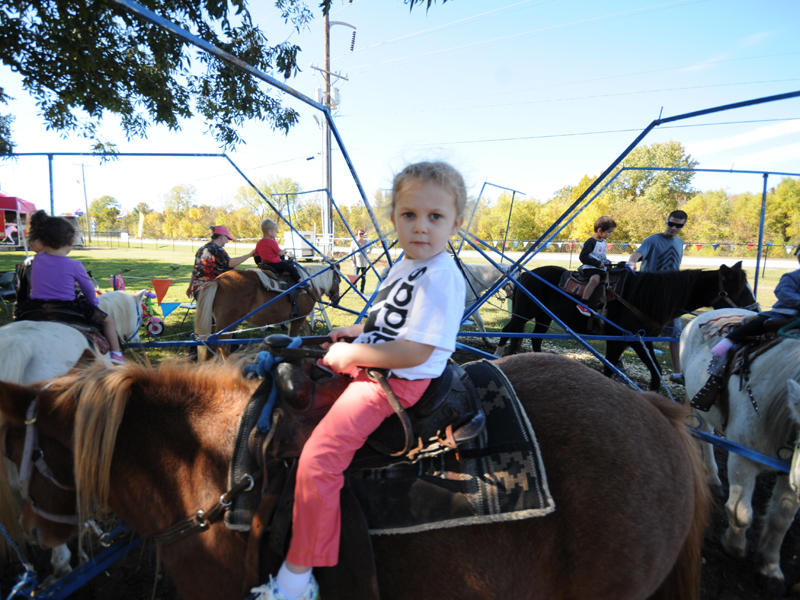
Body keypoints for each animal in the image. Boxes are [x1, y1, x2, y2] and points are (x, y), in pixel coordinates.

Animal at [194, 264, 341, 361]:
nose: (337, 299)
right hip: (228, 323)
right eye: (338, 280)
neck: (309, 284)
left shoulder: (299, 317)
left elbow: (308, 332)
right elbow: (294, 337)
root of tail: (218, 280)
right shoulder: (298, 319)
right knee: (221, 346)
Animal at [495, 263, 757, 390]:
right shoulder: (619, 340)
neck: (643, 299)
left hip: (543, 316)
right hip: (524, 314)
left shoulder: (642, 340)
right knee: (507, 331)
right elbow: (610, 369)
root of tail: (524, 275)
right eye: (741, 291)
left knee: (535, 339)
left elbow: (656, 371)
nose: (755, 312)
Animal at [681, 308, 800, 595]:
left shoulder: (790, 471)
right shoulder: (742, 459)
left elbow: (781, 520)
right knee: (704, 434)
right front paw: (734, 546)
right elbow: (740, 512)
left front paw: (770, 568)